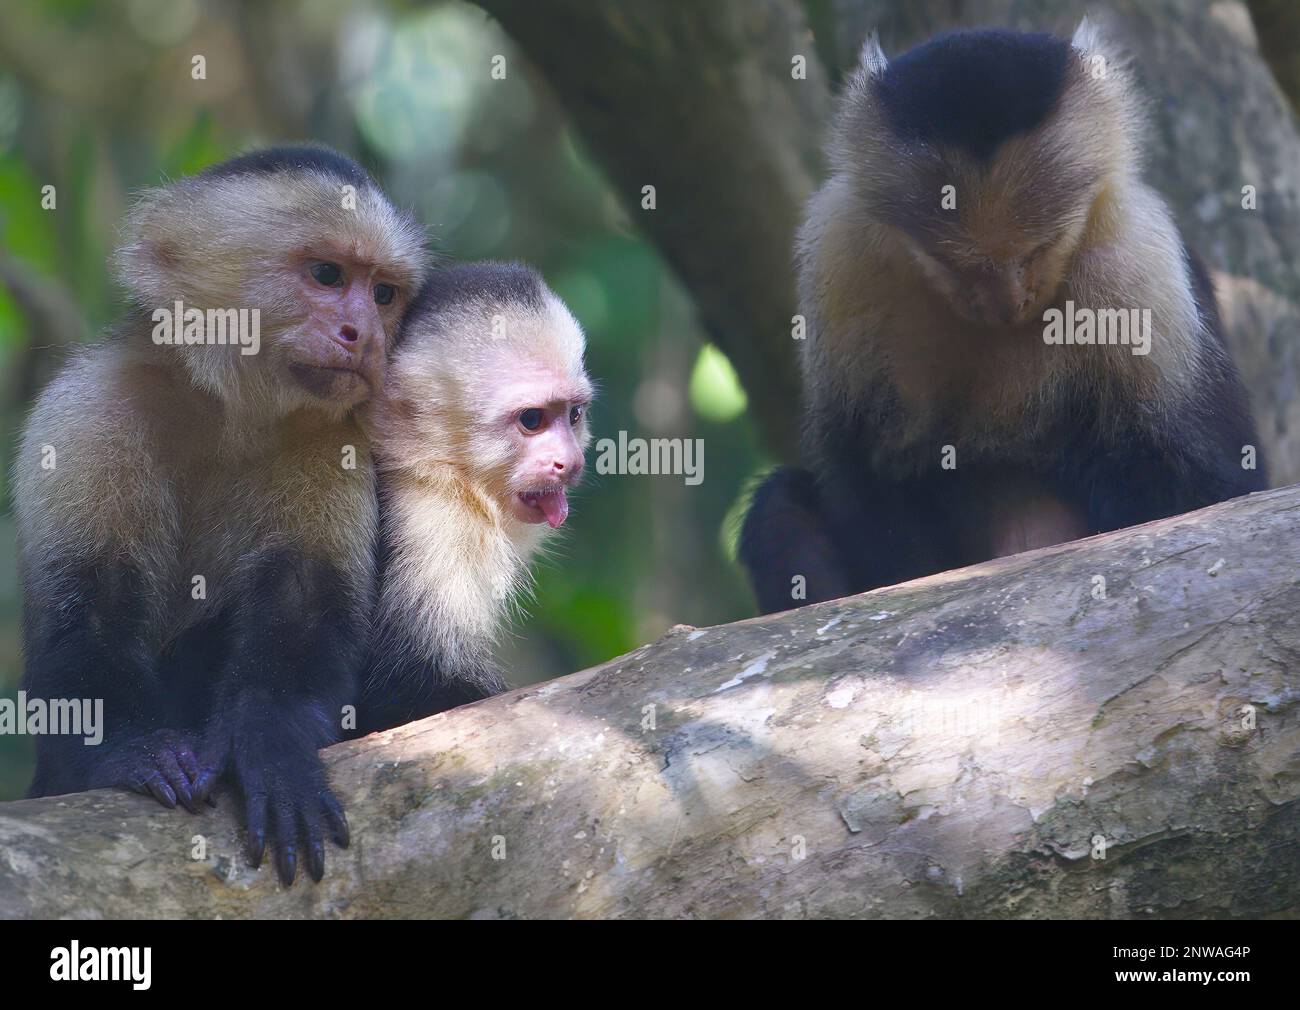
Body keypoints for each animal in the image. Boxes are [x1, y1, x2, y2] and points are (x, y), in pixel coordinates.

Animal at [15, 146, 427, 885]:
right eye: (327, 275)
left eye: (384, 294)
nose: (363, 336)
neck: (229, 412)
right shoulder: (90, 408)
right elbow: (88, 611)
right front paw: (134, 752)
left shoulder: (333, 434)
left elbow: (304, 605)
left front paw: (270, 740)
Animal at [739, 22, 1267, 615]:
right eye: (952, 264)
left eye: (1038, 251)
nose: (1004, 304)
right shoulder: (843, 247)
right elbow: (860, 476)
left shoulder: (1135, 259)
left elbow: (1209, 490)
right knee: (780, 505)